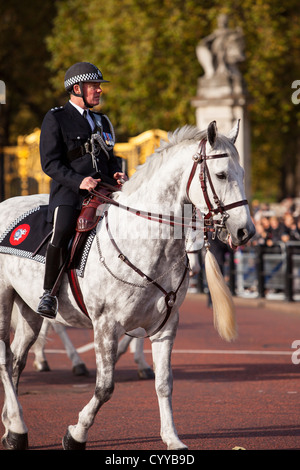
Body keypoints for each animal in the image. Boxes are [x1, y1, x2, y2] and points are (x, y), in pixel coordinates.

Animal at [0, 123, 255, 450]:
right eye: (221, 174)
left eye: (242, 173)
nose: (245, 231)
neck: (146, 240)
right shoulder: (106, 325)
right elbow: (105, 387)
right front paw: (76, 434)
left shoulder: (165, 325)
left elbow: (164, 383)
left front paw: (172, 438)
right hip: (6, 301)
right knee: (6, 360)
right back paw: (19, 427)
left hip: (29, 308)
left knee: (17, 361)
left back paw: (12, 425)